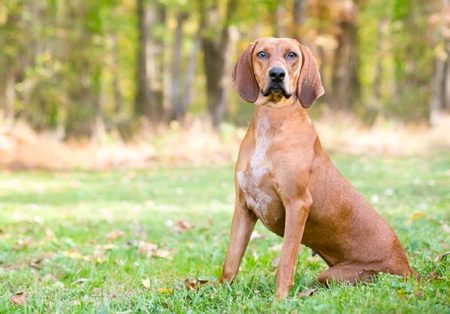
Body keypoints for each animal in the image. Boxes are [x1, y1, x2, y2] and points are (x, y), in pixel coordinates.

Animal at [220, 37, 416, 300]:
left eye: (292, 55)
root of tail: (408, 267)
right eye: (262, 54)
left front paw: (279, 300)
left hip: (338, 274)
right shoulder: (244, 206)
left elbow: (286, 261)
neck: (272, 120)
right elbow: (231, 261)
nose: (277, 74)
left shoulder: (297, 204)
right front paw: (218, 293)